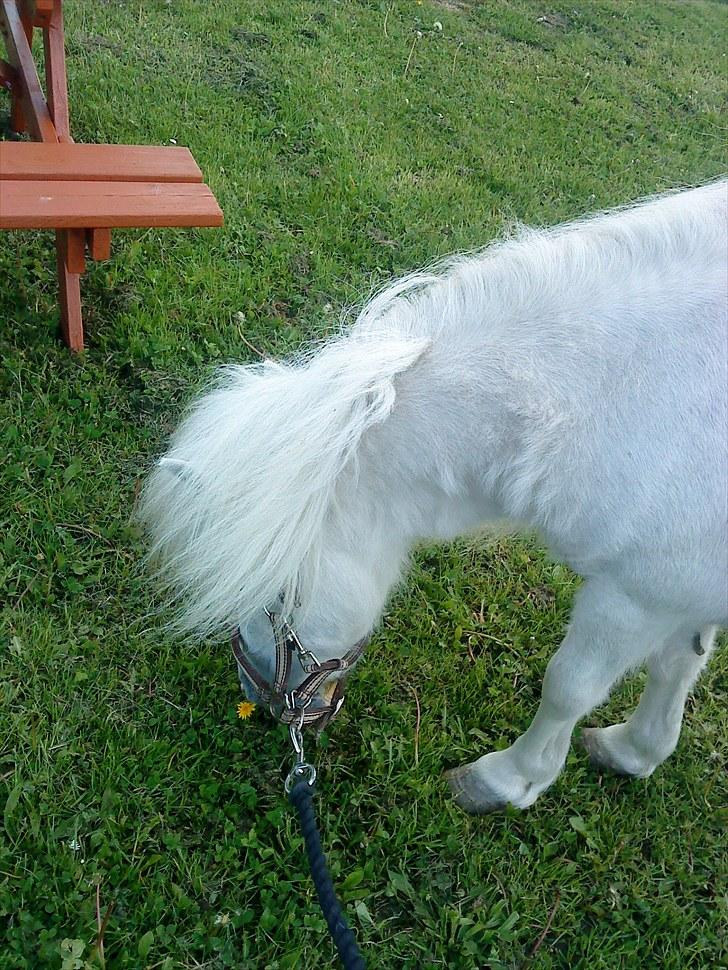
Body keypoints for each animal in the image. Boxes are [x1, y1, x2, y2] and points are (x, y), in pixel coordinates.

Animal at [142, 180, 728, 808]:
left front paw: (507, 780)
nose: (259, 695)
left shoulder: (634, 596)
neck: (619, 396)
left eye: (280, 596)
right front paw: (636, 750)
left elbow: (568, 688)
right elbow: (677, 666)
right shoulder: (683, 594)